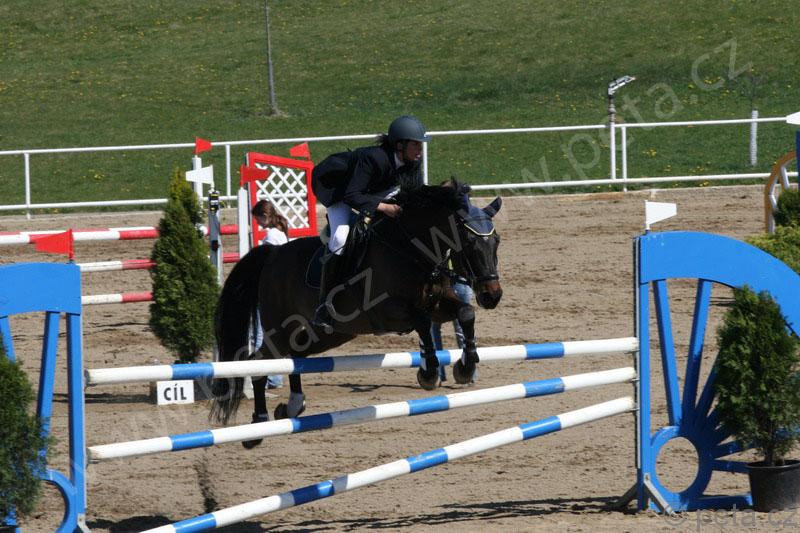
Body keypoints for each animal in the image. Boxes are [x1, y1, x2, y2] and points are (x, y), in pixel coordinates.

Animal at [211, 179, 503, 447]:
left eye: (496, 241)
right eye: (469, 241)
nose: (492, 295)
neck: (410, 249)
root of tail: (273, 253)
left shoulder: (439, 305)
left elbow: (465, 312)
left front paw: (465, 367)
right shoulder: (388, 312)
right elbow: (421, 321)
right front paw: (428, 373)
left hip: (324, 335)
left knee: (295, 357)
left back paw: (292, 406)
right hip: (281, 330)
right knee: (259, 363)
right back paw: (256, 427)